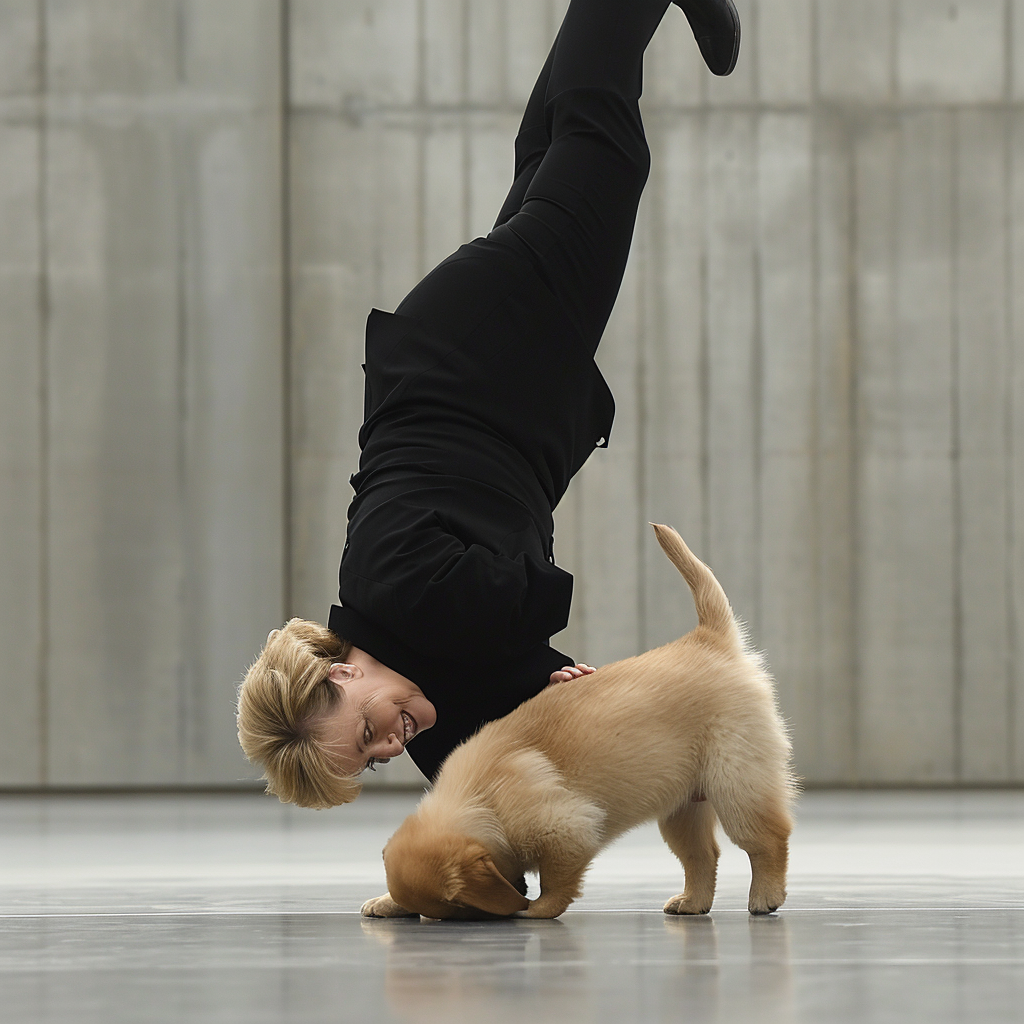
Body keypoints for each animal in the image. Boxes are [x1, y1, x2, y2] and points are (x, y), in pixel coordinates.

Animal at [362, 528, 798, 921]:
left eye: (457, 907)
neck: (483, 798)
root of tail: (709, 639)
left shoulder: (567, 827)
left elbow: (557, 883)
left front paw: (534, 909)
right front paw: (389, 901)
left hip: (737, 783)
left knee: (768, 840)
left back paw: (765, 896)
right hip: (683, 807)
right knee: (703, 856)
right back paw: (692, 902)